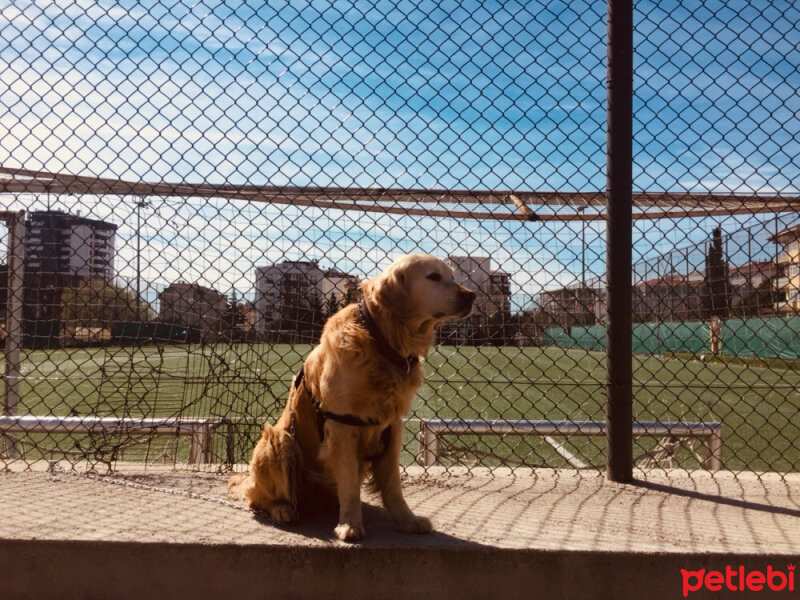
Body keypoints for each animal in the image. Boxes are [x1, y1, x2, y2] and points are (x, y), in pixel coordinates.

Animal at [227, 251, 476, 540]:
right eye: (433, 277)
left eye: (452, 276)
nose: (471, 295)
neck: (381, 342)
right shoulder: (342, 426)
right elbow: (348, 483)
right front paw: (350, 524)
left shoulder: (392, 426)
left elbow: (393, 485)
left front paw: (407, 521)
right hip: (278, 441)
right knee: (256, 497)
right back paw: (282, 508)